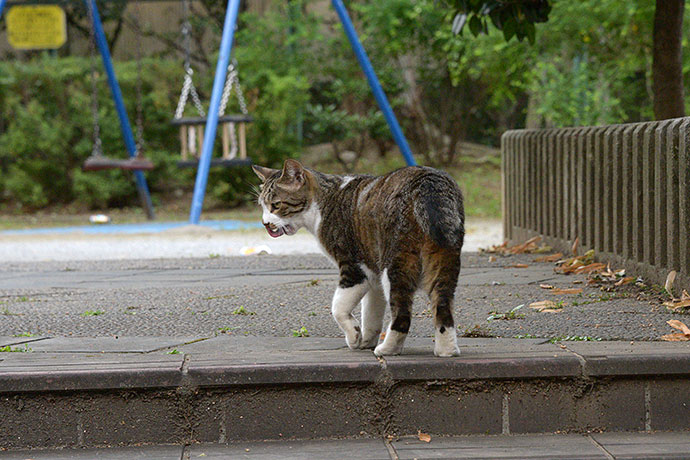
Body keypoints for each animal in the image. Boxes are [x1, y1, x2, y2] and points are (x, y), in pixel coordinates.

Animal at [251, 160, 462, 358]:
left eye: (276, 205)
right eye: (262, 206)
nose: (265, 223)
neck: (324, 202)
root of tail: (429, 182)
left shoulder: (354, 268)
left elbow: (338, 307)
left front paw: (353, 336)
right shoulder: (374, 273)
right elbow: (370, 313)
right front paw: (366, 340)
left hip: (396, 264)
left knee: (402, 314)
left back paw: (387, 349)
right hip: (444, 259)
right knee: (443, 306)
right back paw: (447, 350)